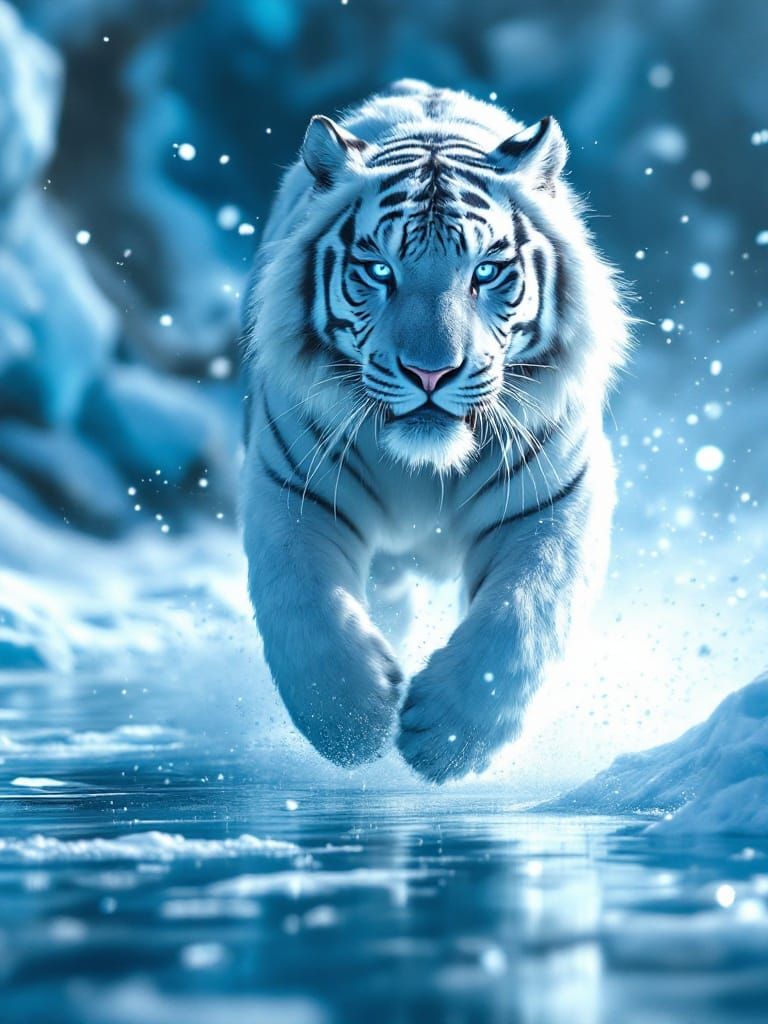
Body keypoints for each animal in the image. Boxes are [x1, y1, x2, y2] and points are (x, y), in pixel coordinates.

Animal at [241, 79, 628, 783]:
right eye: (379, 271)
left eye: (486, 272)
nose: (430, 371)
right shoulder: (291, 487)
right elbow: (302, 609)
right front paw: (354, 724)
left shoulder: (556, 500)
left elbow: (525, 616)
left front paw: (445, 739)